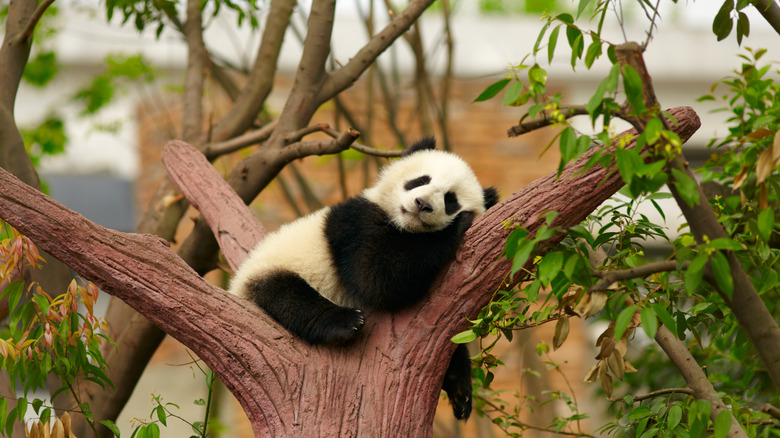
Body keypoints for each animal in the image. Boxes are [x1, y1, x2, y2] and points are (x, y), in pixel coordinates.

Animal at [229, 139, 500, 420]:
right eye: (420, 180)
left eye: (450, 199)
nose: (422, 203)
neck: (405, 226)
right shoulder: (356, 224)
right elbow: (377, 279)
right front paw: (459, 225)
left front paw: (460, 389)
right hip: (272, 269)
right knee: (288, 296)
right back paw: (345, 322)